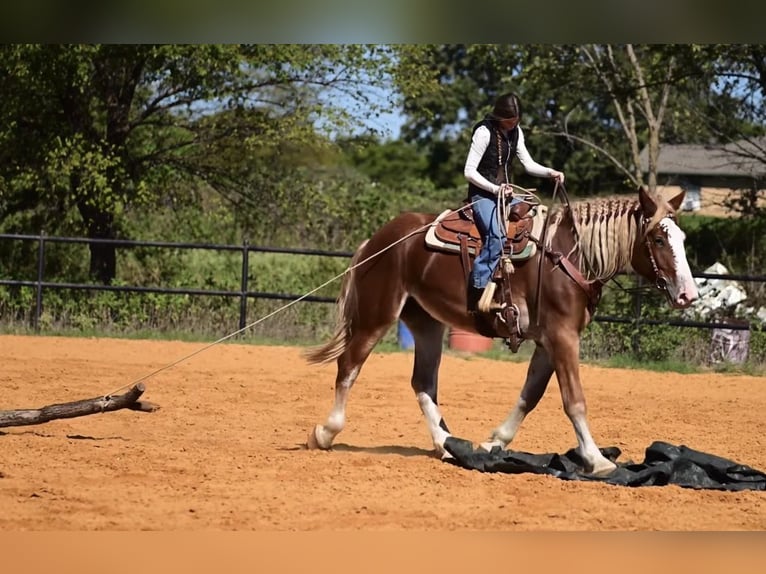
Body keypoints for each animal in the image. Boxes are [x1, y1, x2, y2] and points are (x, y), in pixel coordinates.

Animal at [304, 186, 698, 476]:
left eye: (681, 238)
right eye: (658, 239)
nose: (688, 295)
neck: (571, 255)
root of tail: (376, 241)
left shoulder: (548, 342)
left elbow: (530, 395)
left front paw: (494, 442)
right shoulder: (562, 336)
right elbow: (574, 400)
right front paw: (597, 459)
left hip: (426, 323)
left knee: (423, 383)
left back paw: (447, 445)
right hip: (377, 316)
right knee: (349, 366)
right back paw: (325, 432)